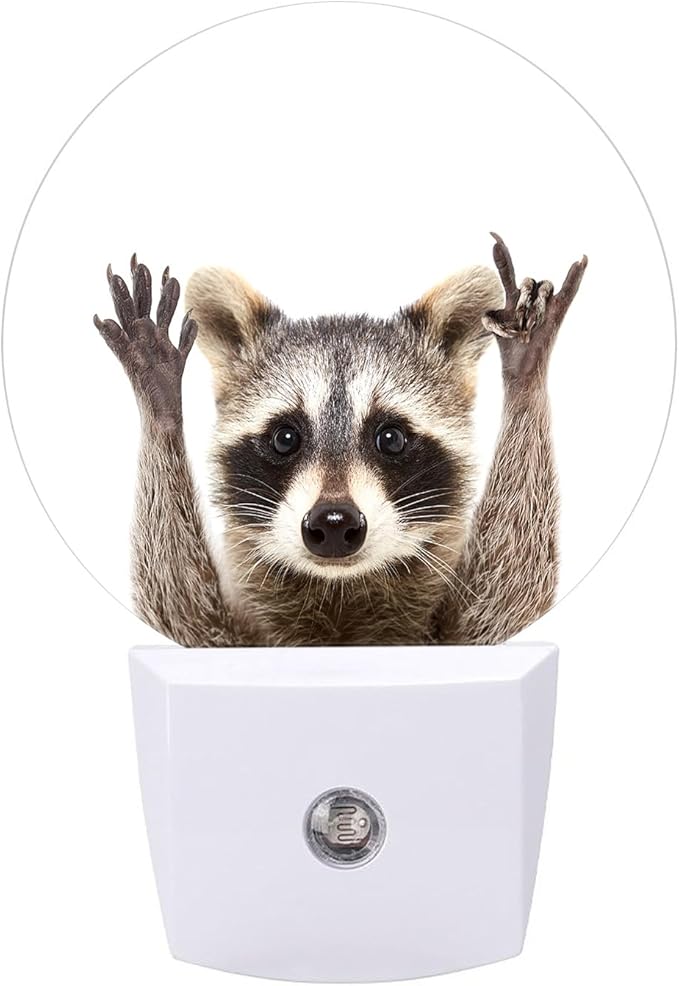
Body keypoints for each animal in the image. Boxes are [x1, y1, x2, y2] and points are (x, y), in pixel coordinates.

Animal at [94, 234, 587, 647]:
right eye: (285, 437)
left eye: (390, 437)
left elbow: (511, 592)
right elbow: (177, 611)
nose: (333, 523)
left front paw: (525, 372)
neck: (340, 593)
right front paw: (160, 400)